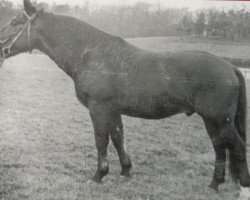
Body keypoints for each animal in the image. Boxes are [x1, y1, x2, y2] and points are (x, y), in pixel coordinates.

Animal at [0, 0, 250, 198]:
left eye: (14, 23)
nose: (0, 48)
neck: (90, 53)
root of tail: (230, 67)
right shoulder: (113, 110)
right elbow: (118, 138)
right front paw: (126, 171)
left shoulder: (98, 108)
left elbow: (101, 140)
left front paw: (98, 175)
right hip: (212, 120)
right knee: (220, 146)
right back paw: (214, 184)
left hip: (219, 119)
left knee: (236, 146)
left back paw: (243, 188)